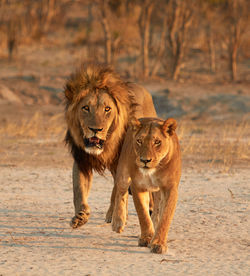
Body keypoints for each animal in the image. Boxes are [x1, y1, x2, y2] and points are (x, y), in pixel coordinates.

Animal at [64, 63, 156, 230]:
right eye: (85, 108)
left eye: (107, 109)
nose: (96, 129)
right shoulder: (82, 159)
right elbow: (79, 189)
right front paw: (80, 216)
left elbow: (119, 191)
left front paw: (118, 218)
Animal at [112, 117, 181, 253]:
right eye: (139, 141)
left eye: (157, 142)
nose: (145, 160)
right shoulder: (138, 186)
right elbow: (143, 214)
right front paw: (147, 238)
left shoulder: (170, 188)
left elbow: (165, 216)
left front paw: (158, 243)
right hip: (123, 174)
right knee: (120, 191)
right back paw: (118, 221)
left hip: (158, 190)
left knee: (157, 207)